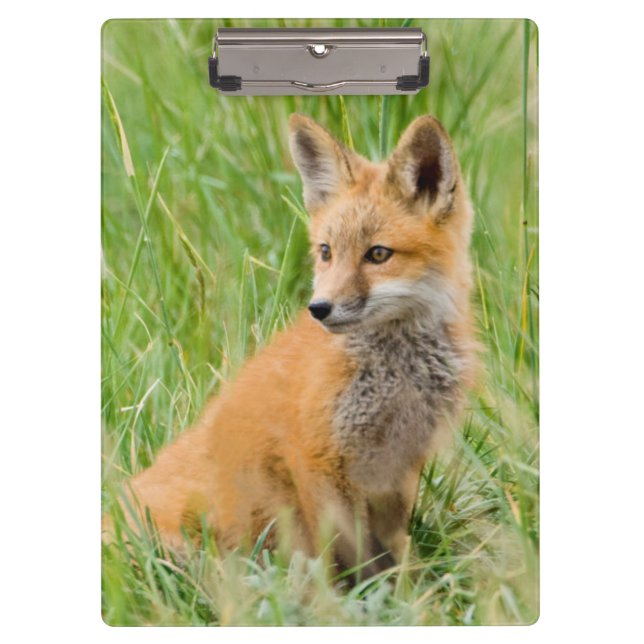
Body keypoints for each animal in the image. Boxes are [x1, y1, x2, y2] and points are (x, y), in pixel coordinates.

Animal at [105, 113, 477, 579]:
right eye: (326, 252)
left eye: (378, 254)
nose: (319, 308)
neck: (395, 375)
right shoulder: (316, 457)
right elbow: (348, 556)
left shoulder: (399, 466)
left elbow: (393, 551)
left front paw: (410, 588)